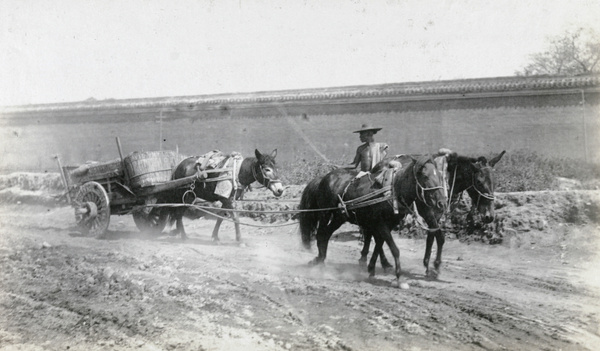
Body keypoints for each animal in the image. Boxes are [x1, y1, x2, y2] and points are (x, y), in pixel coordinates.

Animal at [300, 155, 446, 288]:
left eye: (440, 176)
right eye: (425, 176)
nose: (442, 203)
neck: (393, 190)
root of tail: (323, 178)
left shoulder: (386, 225)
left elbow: (379, 244)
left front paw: (371, 268)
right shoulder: (380, 224)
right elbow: (394, 249)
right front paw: (399, 277)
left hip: (339, 217)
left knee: (326, 234)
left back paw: (320, 259)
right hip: (325, 213)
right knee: (321, 234)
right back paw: (319, 261)